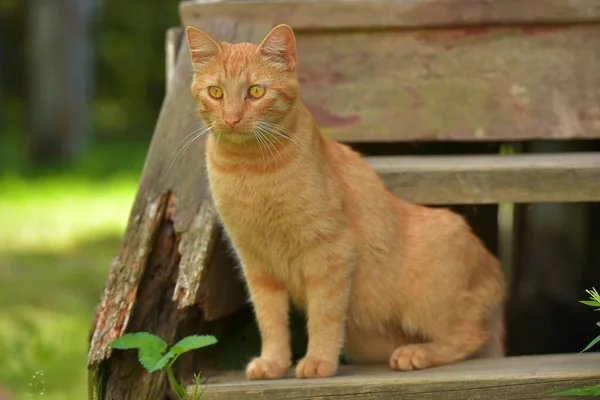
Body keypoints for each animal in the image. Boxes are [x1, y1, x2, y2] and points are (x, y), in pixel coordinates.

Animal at [185, 23, 504, 380]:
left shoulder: (331, 252)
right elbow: (270, 320)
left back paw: (416, 353)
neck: (249, 170)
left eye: (255, 91)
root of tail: (493, 267)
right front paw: (274, 362)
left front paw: (319, 361)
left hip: (428, 301)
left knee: (471, 336)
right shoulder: (256, 264)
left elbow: (324, 315)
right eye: (216, 92)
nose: (232, 118)